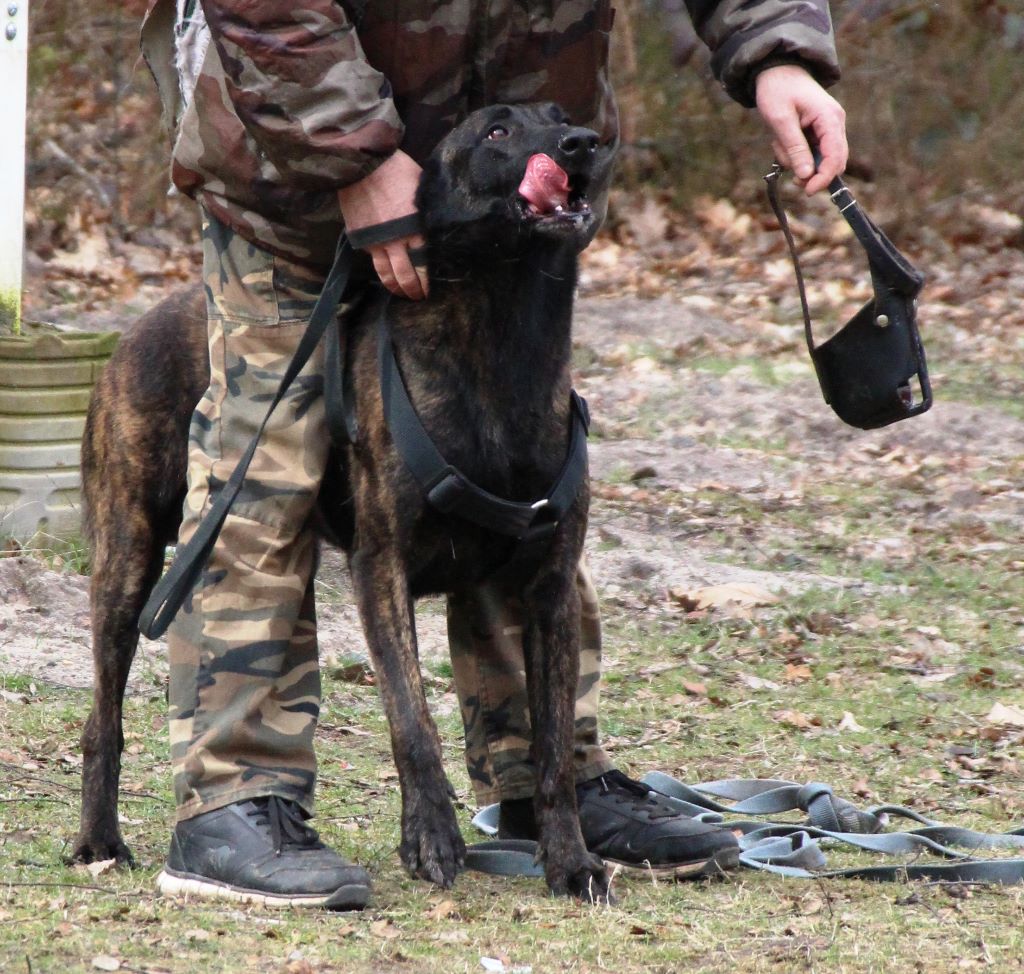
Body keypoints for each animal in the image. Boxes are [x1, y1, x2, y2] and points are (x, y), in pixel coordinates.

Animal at [74, 102, 614, 901]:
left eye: (559, 117)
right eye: (495, 133)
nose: (584, 144)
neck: (505, 336)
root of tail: (143, 320)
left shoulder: (548, 592)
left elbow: (551, 751)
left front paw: (570, 860)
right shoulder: (379, 572)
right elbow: (413, 722)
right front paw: (432, 839)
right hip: (130, 557)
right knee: (102, 719)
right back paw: (98, 839)